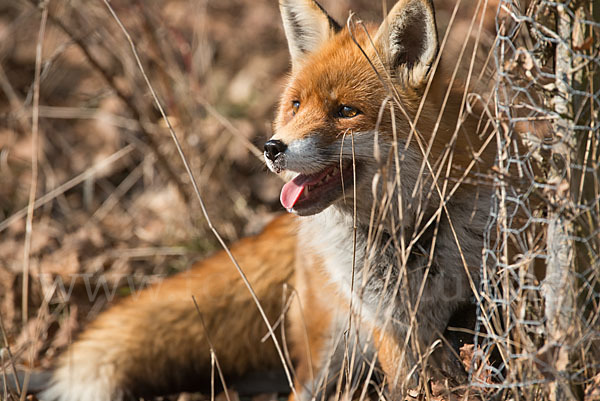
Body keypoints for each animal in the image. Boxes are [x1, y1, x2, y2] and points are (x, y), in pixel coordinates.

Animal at [35, 0, 500, 400]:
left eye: (346, 111)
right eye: (295, 105)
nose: (271, 147)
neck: (409, 234)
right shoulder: (389, 328)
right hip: (327, 358)